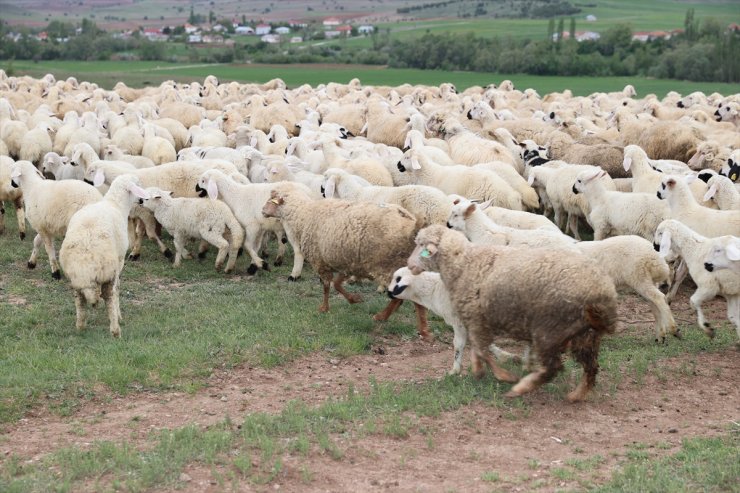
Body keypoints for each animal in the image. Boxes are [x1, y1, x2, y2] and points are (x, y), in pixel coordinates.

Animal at [59, 174, 150, 338]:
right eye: (138, 184)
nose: (142, 200)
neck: (116, 204)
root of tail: (85, 267)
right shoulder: (120, 261)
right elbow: (118, 287)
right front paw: (119, 314)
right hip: (108, 271)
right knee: (109, 295)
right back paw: (115, 329)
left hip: (75, 279)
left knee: (79, 301)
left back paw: (80, 326)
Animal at [262, 183, 430, 340]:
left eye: (271, 199)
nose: (262, 211)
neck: (302, 215)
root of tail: (412, 226)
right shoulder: (346, 262)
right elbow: (337, 285)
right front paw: (354, 299)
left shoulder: (320, 261)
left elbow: (326, 286)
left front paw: (324, 308)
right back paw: (416, 326)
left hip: (387, 265)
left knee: (402, 299)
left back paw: (387, 318)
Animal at [408, 225, 616, 402]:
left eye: (421, 245)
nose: (409, 265)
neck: (464, 264)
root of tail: (602, 290)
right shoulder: (477, 320)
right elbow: (477, 350)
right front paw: (478, 370)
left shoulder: (476, 319)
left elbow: (482, 350)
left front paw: (503, 375)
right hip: (585, 334)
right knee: (591, 367)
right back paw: (578, 395)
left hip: (550, 328)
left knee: (554, 367)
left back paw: (521, 388)